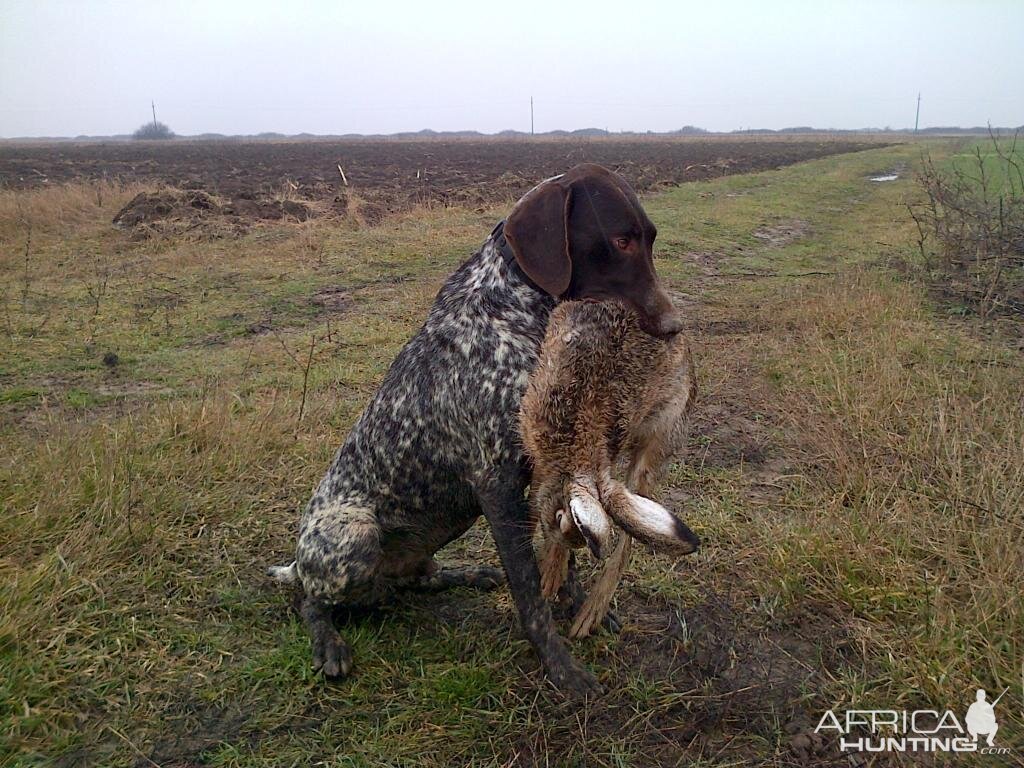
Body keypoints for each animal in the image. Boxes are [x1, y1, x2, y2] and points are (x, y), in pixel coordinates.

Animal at [524, 301, 700, 643]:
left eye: (560, 520)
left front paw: (549, 575)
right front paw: (550, 575)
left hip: (657, 440)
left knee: (627, 542)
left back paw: (589, 615)